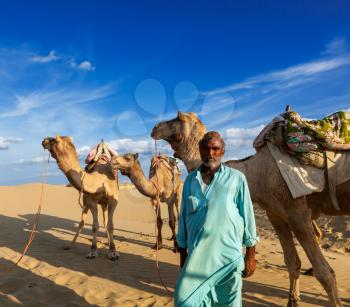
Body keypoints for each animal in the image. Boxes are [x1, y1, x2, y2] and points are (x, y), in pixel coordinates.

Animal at [151, 112, 350, 306]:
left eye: (178, 118)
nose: (155, 127)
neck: (258, 173)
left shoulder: (297, 213)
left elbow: (325, 273)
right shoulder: (276, 215)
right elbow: (292, 262)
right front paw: (292, 301)